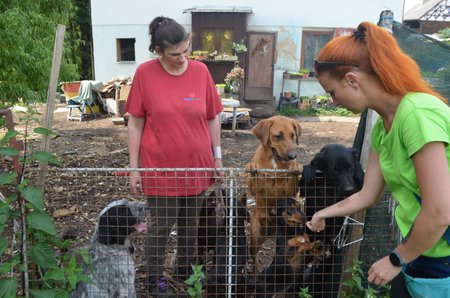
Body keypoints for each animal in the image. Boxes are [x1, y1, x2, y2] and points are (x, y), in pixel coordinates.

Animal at [246, 115, 302, 255]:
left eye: (293, 136)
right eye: (278, 136)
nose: (293, 156)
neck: (274, 161)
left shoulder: (289, 191)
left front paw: (295, 165)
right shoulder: (256, 190)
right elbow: (254, 177)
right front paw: (252, 166)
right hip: (255, 239)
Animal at [298, 144, 366, 296]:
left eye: (350, 168)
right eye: (335, 170)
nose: (349, 189)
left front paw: (359, 169)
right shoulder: (308, 193)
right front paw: (308, 169)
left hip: (325, 267)